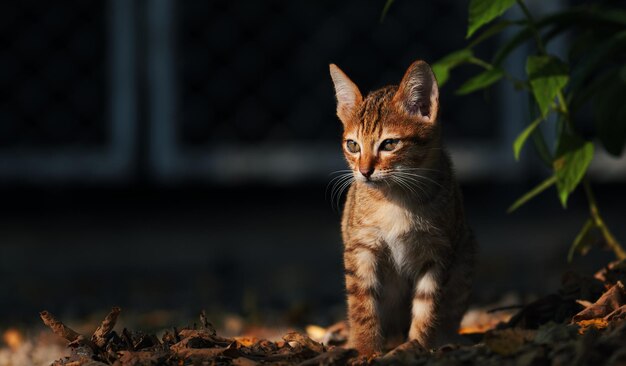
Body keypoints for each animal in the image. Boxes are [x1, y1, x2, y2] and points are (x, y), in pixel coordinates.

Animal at [326, 60, 472, 354]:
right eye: (353, 145)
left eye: (390, 144)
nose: (364, 171)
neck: (396, 199)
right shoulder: (361, 247)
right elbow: (362, 304)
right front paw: (366, 350)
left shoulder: (437, 253)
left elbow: (427, 307)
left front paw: (417, 346)